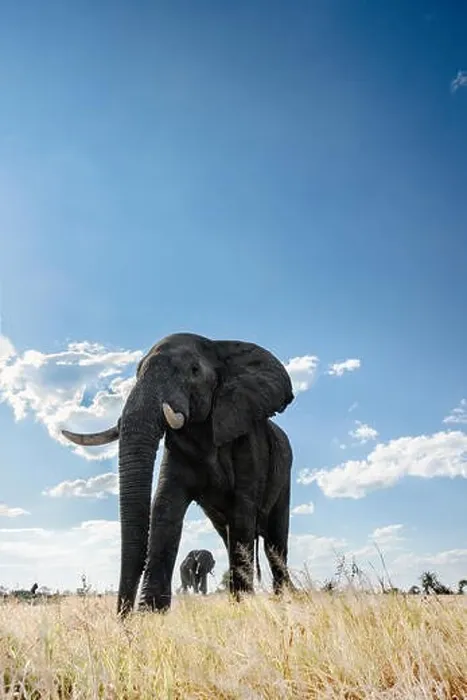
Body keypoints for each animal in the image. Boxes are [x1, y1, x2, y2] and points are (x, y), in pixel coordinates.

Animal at [61, 332, 295, 617]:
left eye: (194, 370)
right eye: (137, 372)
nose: (122, 617)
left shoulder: (248, 442)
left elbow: (243, 511)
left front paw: (244, 609)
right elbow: (165, 508)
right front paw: (151, 614)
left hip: (284, 474)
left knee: (275, 540)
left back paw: (283, 599)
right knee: (229, 536)